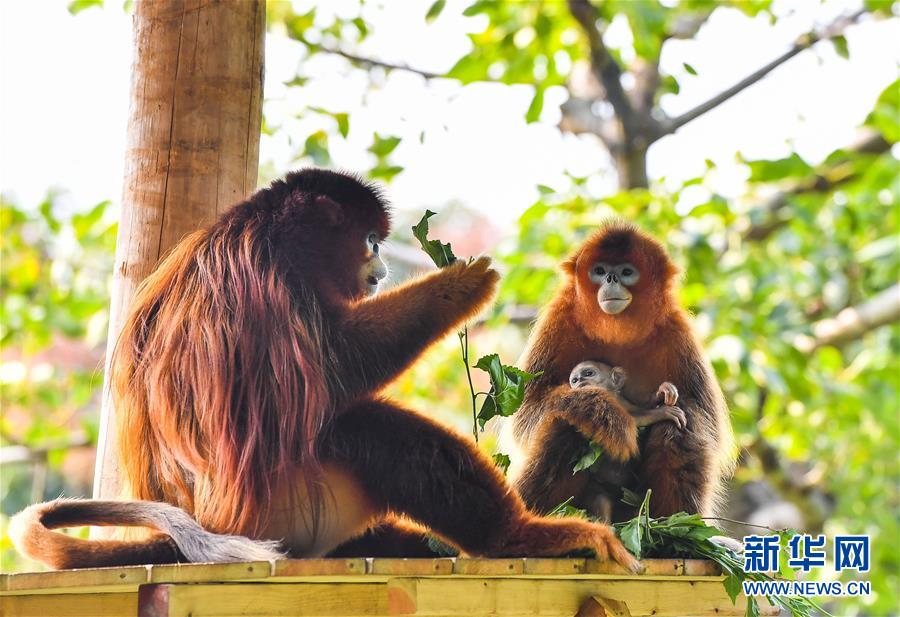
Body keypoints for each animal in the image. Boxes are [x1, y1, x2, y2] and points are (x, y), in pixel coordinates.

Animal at [8, 170, 640, 572]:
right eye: (369, 242)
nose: (381, 269)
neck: (257, 226)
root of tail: (209, 523)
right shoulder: (272, 274)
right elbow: (333, 369)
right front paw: (459, 284)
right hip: (287, 505)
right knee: (360, 425)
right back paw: (514, 536)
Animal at [568, 360, 684, 520]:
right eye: (574, 380)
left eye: (588, 373)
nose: (579, 381)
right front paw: (660, 412)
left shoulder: (623, 401)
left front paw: (662, 392)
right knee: (600, 500)